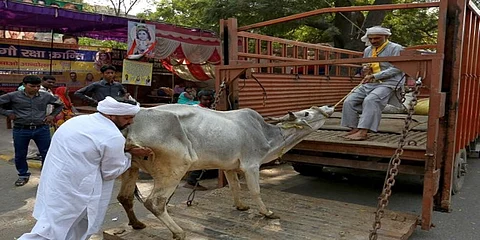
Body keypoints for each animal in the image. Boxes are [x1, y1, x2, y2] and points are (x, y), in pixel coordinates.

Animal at [118, 104, 332, 239]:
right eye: (307, 113)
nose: (329, 107)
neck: (267, 135)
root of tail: (132, 125)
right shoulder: (251, 165)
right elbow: (255, 191)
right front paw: (267, 212)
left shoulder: (229, 167)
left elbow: (235, 186)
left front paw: (241, 206)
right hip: (175, 167)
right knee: (154, 203)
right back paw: (179, 232)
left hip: (131, 167)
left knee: (125, 197)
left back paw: (137, 224)